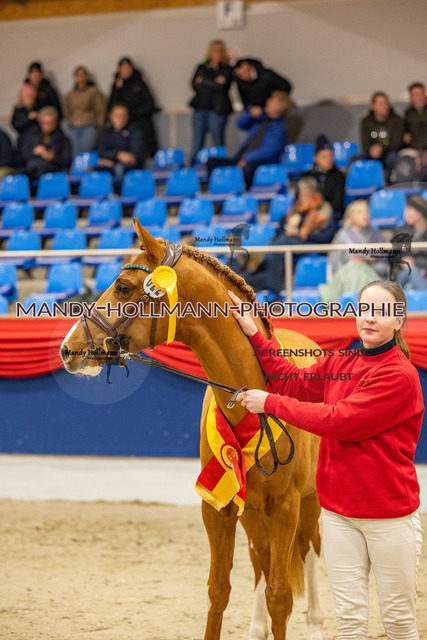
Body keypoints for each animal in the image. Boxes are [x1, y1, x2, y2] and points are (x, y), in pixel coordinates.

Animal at [60, 220, 324, 640]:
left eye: (123, 287)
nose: (69, 349)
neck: (251, 396)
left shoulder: (286, 507)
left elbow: (281, 597)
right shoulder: (218, 507)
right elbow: (220, 590)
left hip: (309, 504)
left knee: (309, 551)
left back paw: (315, 623)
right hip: (252, 512)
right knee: (261, 560)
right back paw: (256, 627)